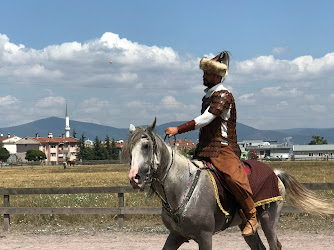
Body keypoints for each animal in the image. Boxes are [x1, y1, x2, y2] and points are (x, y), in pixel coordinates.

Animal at [122, 118, 334, 250]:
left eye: (146, 146)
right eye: (129, 149)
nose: (134, 178)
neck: (182, 187)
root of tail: (275, 173)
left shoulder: (205, 236)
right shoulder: (175, 236)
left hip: (269, 218)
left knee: (275, 245)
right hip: (248, 226)